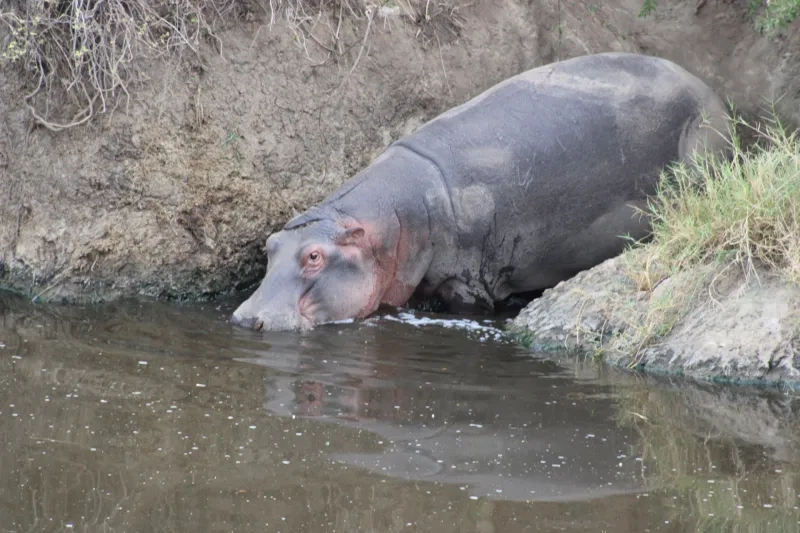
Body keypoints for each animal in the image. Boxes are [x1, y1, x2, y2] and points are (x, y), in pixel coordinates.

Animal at [232, 52, 730, 331]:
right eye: (270, 245)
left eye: (314, 256)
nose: (244, 318)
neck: (389, 222)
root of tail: (709, 90)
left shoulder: (467, 280)